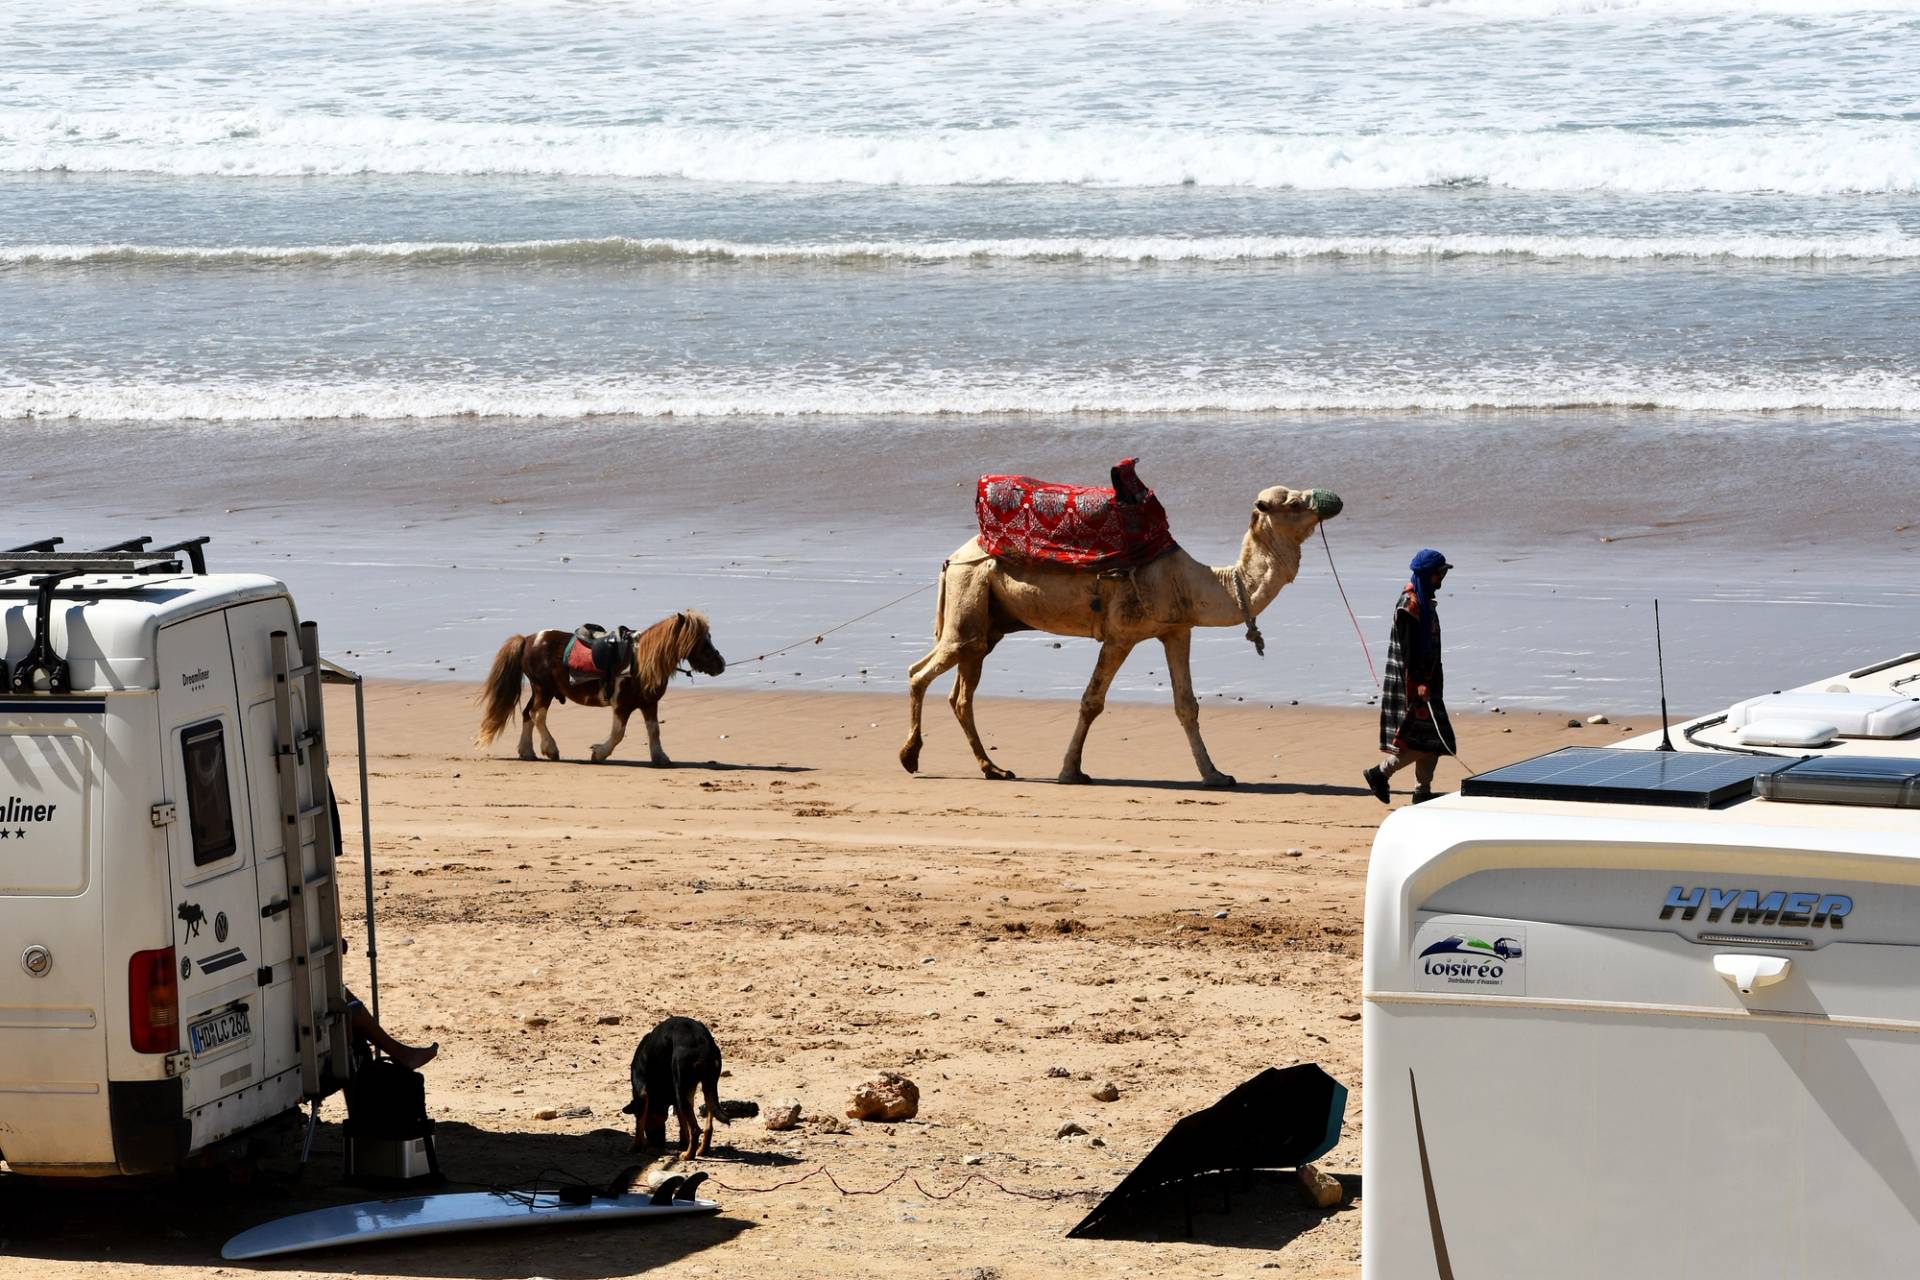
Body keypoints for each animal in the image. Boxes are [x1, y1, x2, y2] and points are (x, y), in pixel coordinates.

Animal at [476, 614, 721, 767]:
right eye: (702, 640)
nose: (720, 664)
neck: (640, 661)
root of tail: (527, 640)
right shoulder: (622, 706)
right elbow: (618, 734)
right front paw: (599, 753)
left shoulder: (649, 704)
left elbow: (654, 730)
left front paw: (660, 757)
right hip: (543, 689)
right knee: (538, 715)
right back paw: (550, 749)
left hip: (542, 690)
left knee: (528, 713)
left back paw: (527, 752)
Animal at [622, 1020, 725, 1159]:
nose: (657, 1143)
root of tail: (703, 1044)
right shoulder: (677, 1097)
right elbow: (682, 1123)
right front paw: (683, 1142)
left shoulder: (641, 1093)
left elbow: (639, 1123)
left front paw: (635, 1147)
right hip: (707, 1087)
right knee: (708, 1126)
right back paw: (702, 1150)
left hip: (682, 1089)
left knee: (695, 1129)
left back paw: (688, 1155)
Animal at [902, 487, 1344, 786]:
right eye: (1293, 503)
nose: (1333, 500)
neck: (1192, 581)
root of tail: (954, 557)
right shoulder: (1120, 636)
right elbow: (1091, 702)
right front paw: (1071, 771)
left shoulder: (1177, 631)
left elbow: (1187, 706)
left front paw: (1216, 775)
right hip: (968, 598)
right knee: (920, 672)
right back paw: (911, 758)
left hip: (985, 619)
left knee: (961, 690)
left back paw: (993, 768)